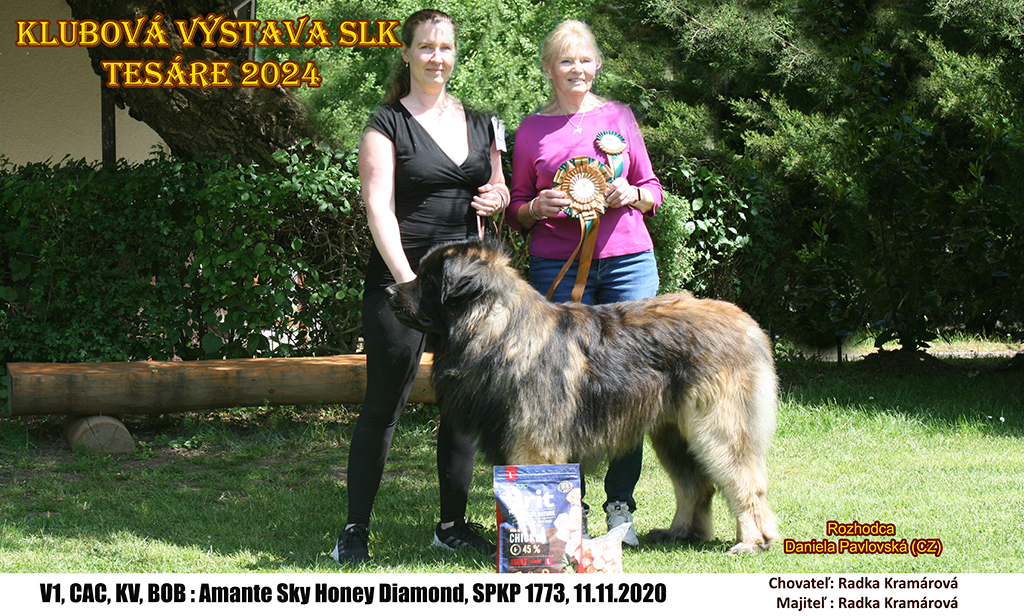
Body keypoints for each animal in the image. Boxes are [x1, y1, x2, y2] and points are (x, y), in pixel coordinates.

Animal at [385, 240, 779, 554]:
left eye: (429, 280)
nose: (389, 291)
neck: (501, 332)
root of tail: (746, 323)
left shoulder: (534, 447)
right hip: (673, 434)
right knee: (694, 486)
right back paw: (679, 532)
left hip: (716, 430)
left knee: (745, 483)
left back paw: (752, 541)